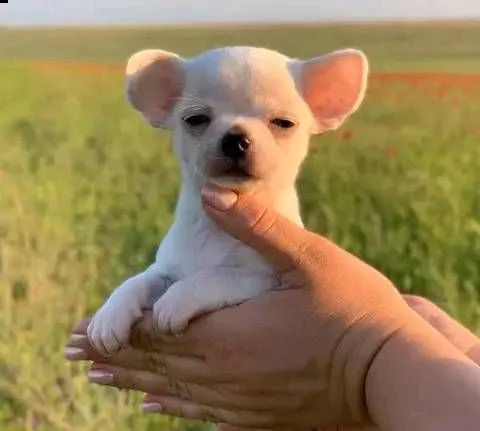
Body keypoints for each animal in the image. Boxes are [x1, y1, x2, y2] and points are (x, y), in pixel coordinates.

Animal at [88, 44, 370, 358]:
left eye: (284, 123)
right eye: (195, 119)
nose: (236, 138)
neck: (216, 229)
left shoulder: (260, 278)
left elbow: (216, 276)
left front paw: (175, 300)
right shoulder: (166, 269)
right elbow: (139, 281)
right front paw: (109, 314)